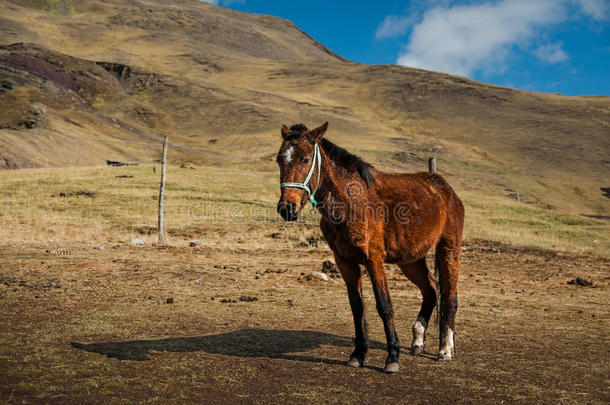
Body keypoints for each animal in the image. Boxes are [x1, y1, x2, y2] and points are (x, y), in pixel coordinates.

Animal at [274, 122, 464, 372]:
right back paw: (417, 341)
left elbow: (384, 305)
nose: (287, 208)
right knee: (431, 290)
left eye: (305, 159)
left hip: (448, 250)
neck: (350, 201)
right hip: (411, 260)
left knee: (449, 296)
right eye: (279, 160)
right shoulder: (344, 260)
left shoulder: (373, 259)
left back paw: (445, 349)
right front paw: (358, 354)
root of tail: (446, 189)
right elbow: (357, 307)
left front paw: (392, 358)